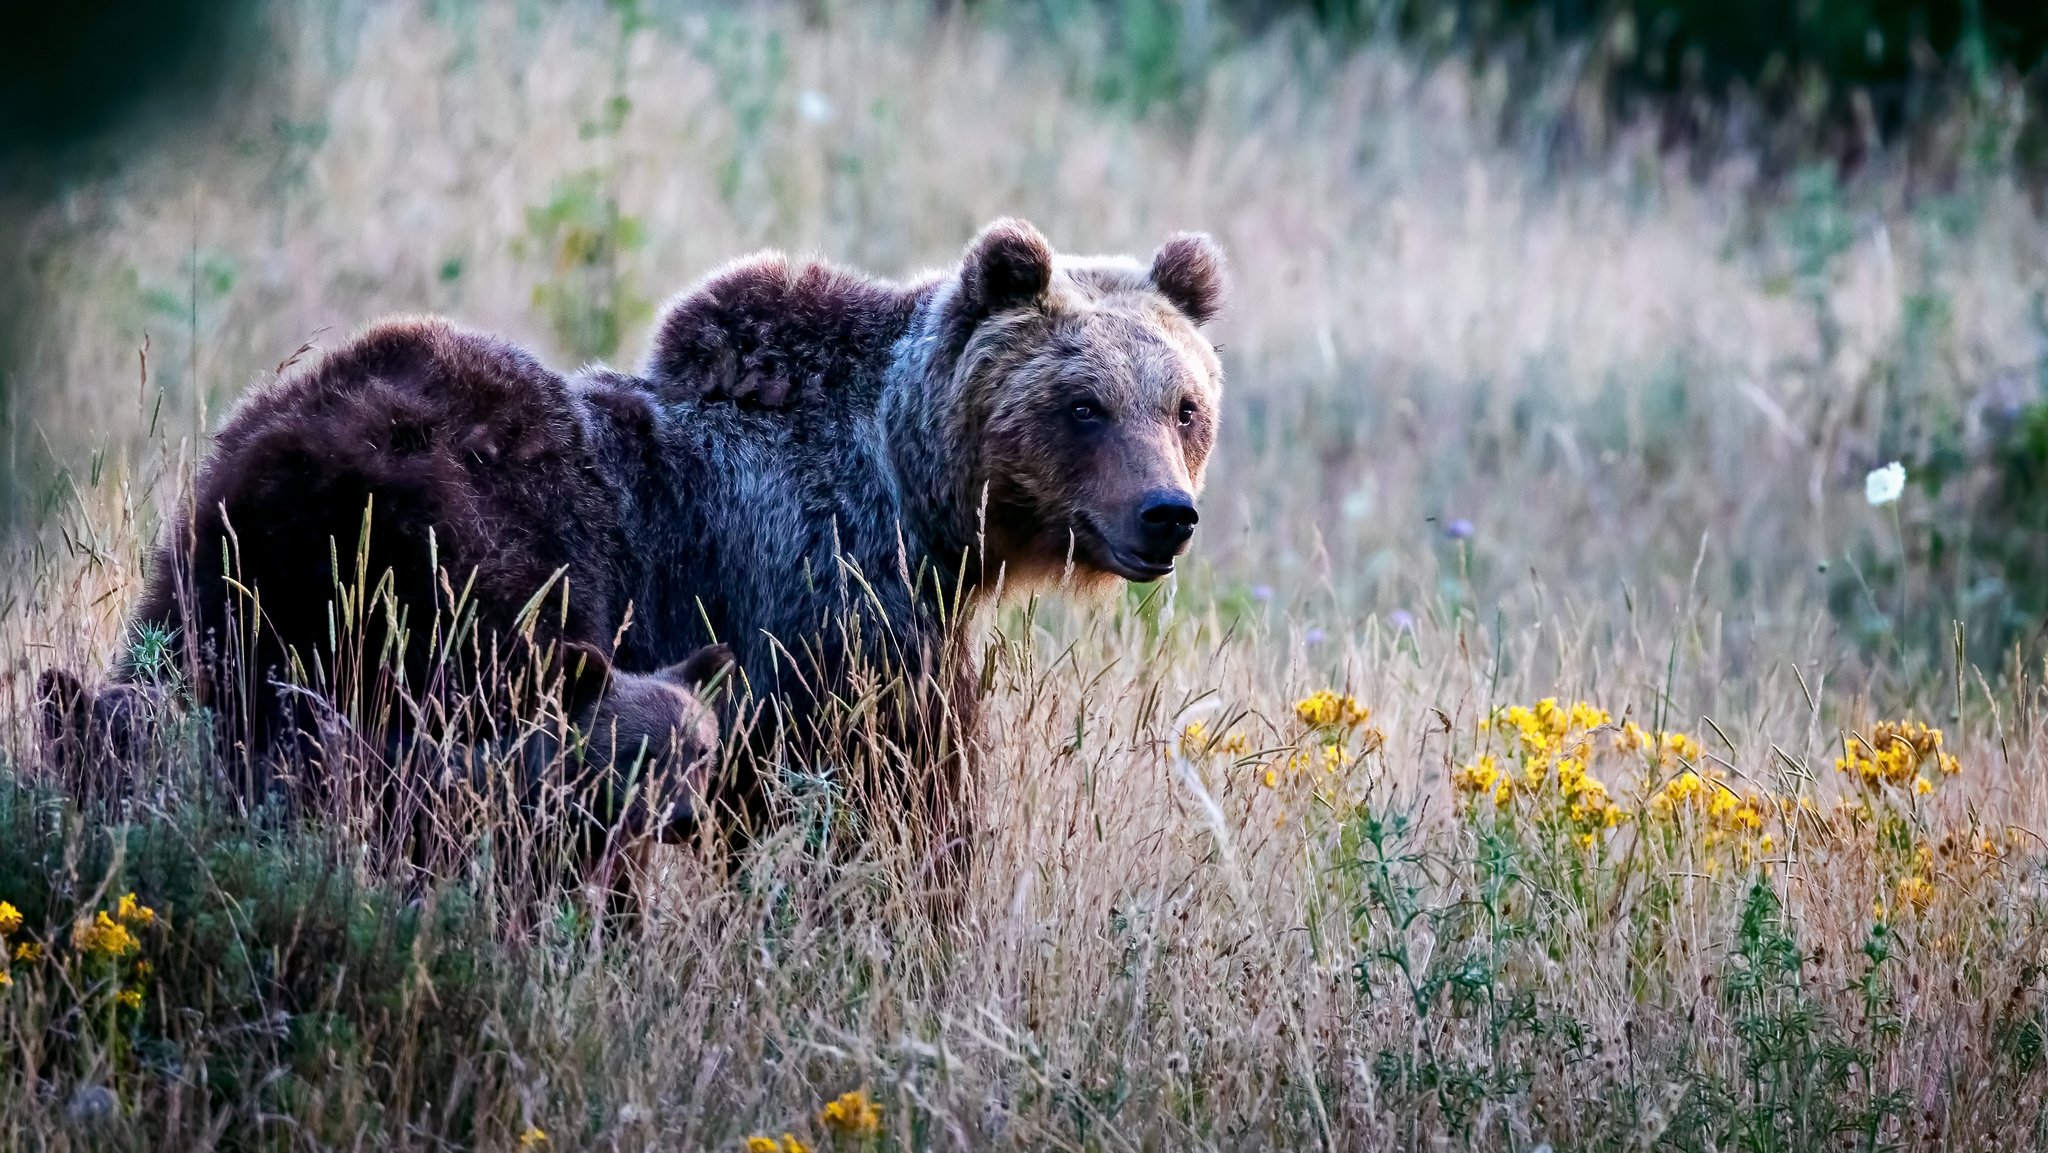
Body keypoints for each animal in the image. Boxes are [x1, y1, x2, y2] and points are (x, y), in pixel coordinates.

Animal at [48, 223, 1220, 892]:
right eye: (1083, 403)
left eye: (1183, 403)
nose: (1164, 513)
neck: (917, 499)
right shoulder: (831, 608)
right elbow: (893, 798)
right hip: (474, 576)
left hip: (234, 567)